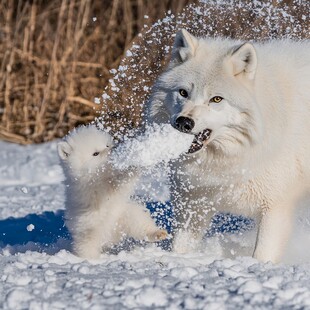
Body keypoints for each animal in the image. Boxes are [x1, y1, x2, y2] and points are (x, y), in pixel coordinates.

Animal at [57, 126, 167, 260]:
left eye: (107, 145)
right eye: (95, 153)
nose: (113, 148)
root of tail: (111, 236)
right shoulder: (94, 188)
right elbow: (117, 184)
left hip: (125, 213)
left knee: (140, 223)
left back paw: (158, 233)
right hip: (89, 227)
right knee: (87, 246)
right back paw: (90, 259)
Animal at [145, 29, 310, 262]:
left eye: (216, 99)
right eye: (183, 93)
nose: (184, 122)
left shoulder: (275, 207)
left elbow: (262, 255)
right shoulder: (193, 205)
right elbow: (179, 248)